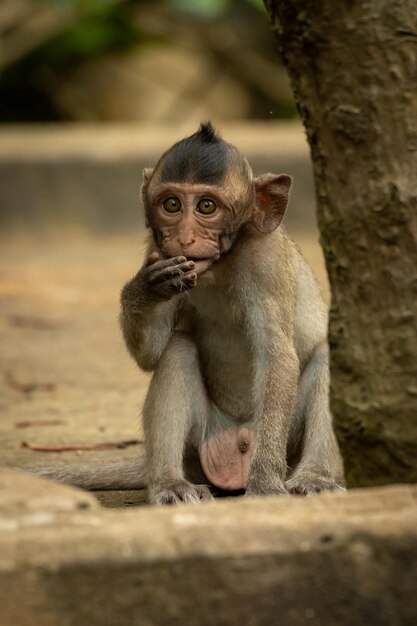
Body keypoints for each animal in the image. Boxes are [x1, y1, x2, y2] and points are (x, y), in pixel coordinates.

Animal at [25, 122, 344, 502]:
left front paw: (266, 482)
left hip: (285, 443)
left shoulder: (264, 260)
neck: (220, 266)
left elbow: (277, 357)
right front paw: (147, 289)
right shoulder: (157, 250)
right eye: (172, 204)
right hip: (201, 443)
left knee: (327, 355)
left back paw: (316, 476)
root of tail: (239, 440)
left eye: (207, 206)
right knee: (177, 350)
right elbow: (149, 356)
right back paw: (169, 483)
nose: (185, 238)